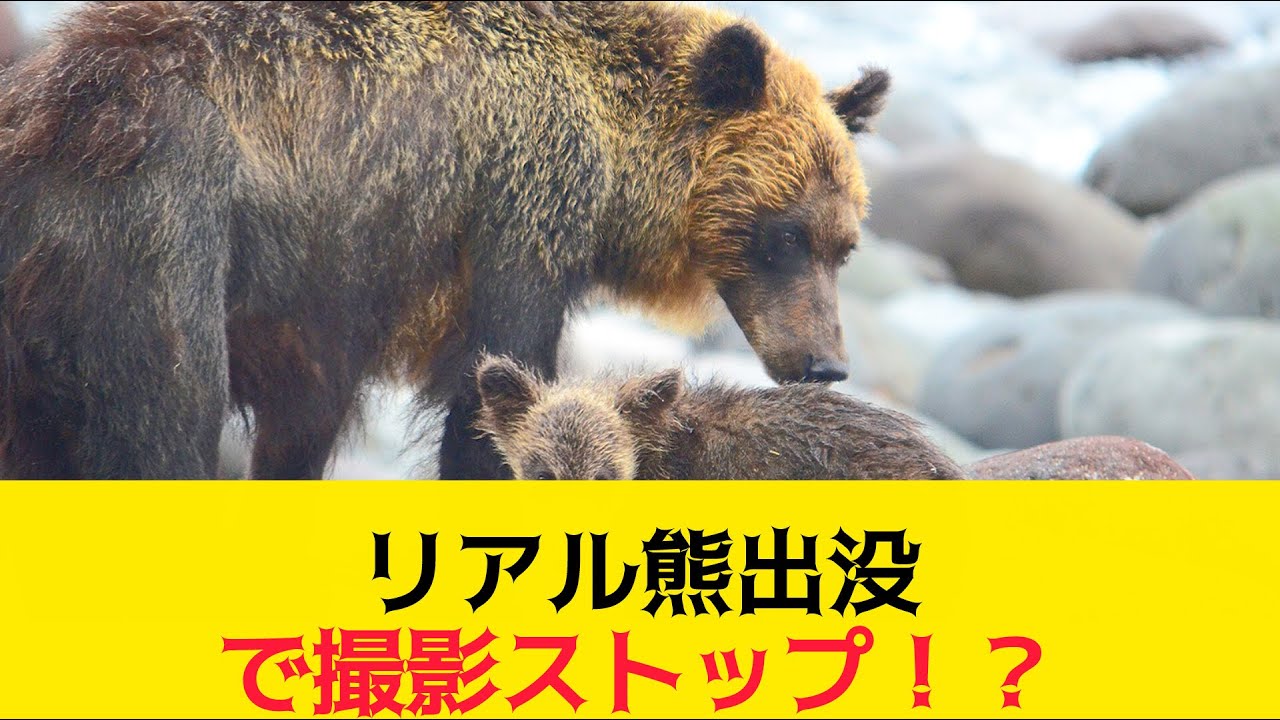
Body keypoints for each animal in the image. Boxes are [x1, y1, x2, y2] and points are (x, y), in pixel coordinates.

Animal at [0, 1, 890, 479]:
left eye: (843, 243)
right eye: (783, 234)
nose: (824, 363)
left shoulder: (324, 311)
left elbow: (303, 426)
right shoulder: (523, 202)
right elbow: (497, 381)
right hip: (154, 241)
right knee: (162, 421)